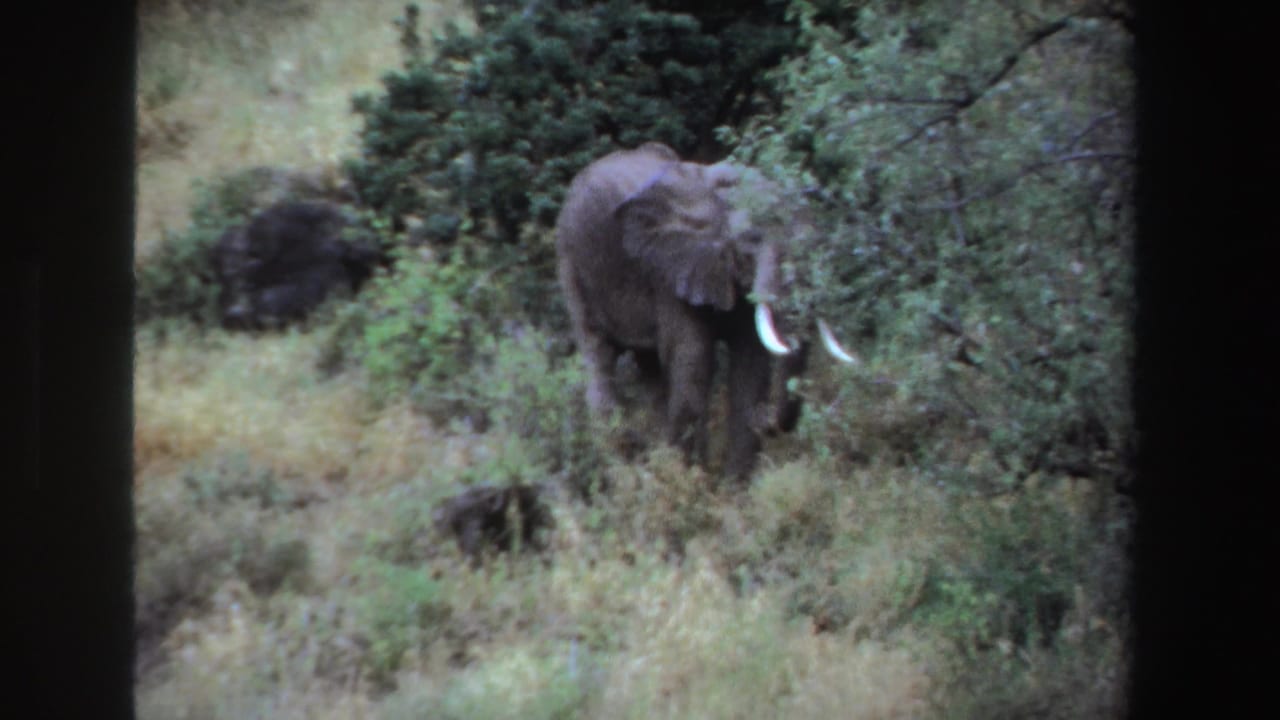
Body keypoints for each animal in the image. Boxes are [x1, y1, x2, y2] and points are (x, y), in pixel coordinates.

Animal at [555, 142, 855, 479]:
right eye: (753, 239)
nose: (764, 418)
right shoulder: (670, 270)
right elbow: (694, 358)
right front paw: (690, 482)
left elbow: (750, 363)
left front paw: (733, 487)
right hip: (571, 261)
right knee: (599, 354)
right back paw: (620, 467)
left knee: (651, 369)